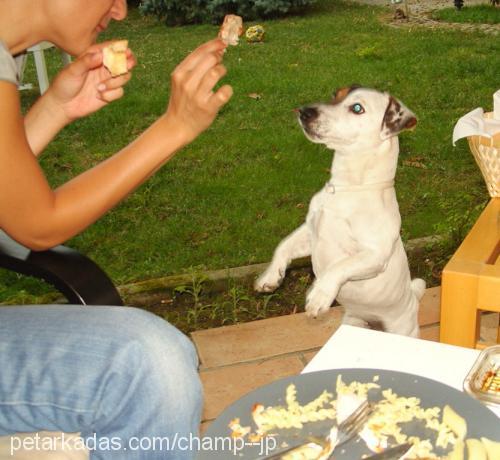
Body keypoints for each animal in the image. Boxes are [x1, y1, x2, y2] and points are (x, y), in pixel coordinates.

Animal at [258, 87, 426, 338]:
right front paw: (270, 276)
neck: (347, 188)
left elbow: (339, 266)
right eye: (335, 95)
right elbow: (283, 246)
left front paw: (319, 294)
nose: (304, 111)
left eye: (357, 108)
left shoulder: (374, 255)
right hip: (353, 323)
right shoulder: (310, 233)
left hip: (404, 329)